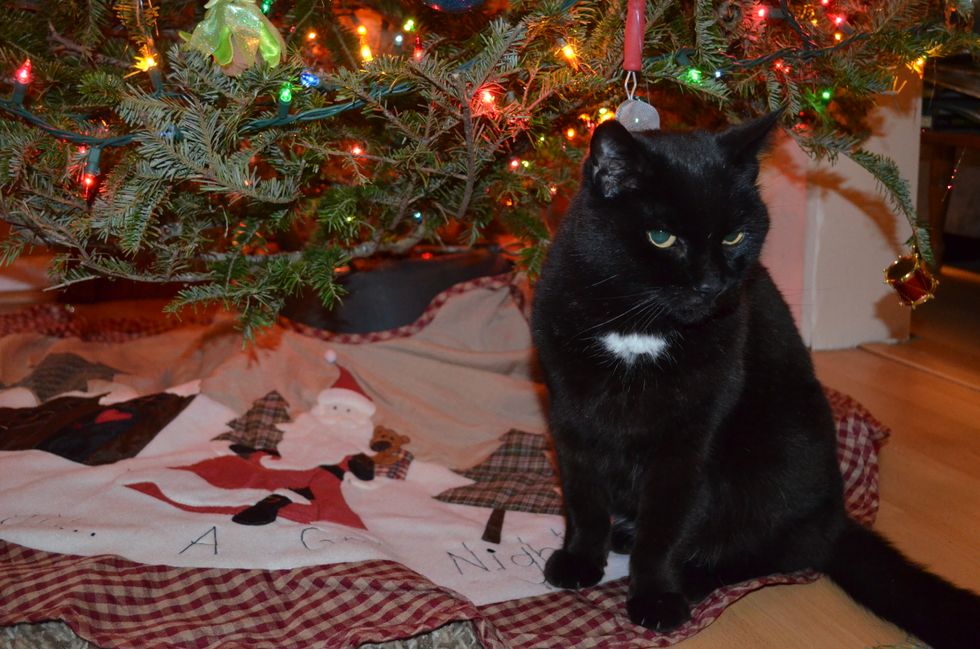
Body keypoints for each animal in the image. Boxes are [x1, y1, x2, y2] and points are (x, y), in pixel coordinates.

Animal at [531, 113, 980, 648]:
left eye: (733, 238)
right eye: (661, 237)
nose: (711, 284)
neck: (639, 329)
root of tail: (836, 518)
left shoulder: (689, 440)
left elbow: (666, 526)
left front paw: (656, 596)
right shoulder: (570, 415)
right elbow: (583, 497)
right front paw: (580, 559)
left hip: (776, 456)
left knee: (780, 551)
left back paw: (692, 576)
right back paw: (625, 535)